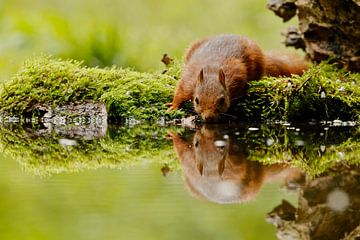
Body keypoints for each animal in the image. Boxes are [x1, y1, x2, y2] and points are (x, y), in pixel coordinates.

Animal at [167, 34, 308, 122]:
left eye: (222, 100)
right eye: (196, 100)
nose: (209, 118)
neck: (211, 71)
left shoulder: (237, 77)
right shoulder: (189, 81)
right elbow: (180, 92)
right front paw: (173, 106)